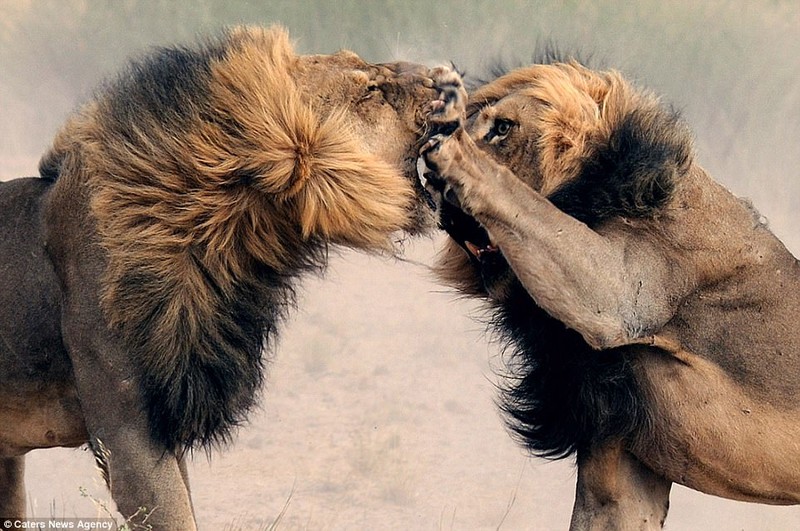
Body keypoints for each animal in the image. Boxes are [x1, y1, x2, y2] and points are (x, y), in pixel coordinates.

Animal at [418, 60, 800, 528]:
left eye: (503, 128)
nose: (425, 171)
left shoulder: (620, 292)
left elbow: (520, 199)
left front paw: (448, 139)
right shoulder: (620, 469)